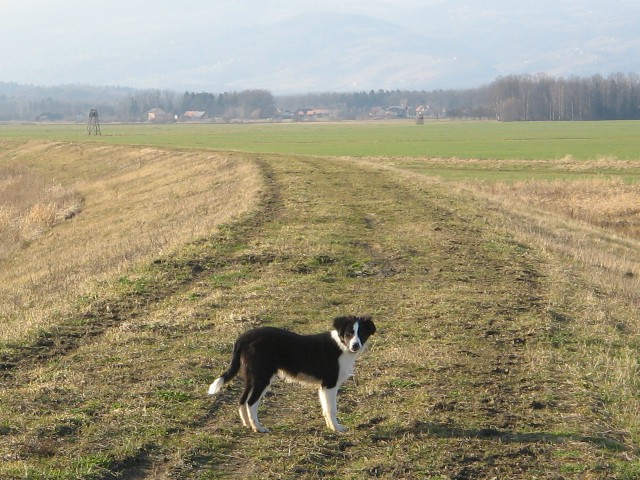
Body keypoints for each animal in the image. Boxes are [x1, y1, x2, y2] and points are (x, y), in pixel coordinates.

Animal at [208, 316, 376, 434]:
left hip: (252, 376)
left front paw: (330, 427)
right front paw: (337, 428)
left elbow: (325, 408)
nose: (355, 345)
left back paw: (247, 424)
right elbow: (332, 408)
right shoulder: (330, 384)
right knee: (251, 402)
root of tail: (243, 337)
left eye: (362, 333)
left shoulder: (323, 386)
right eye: (349, 333)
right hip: (263, 377)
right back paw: (258, 428)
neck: (342, 346)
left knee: (242, 400)